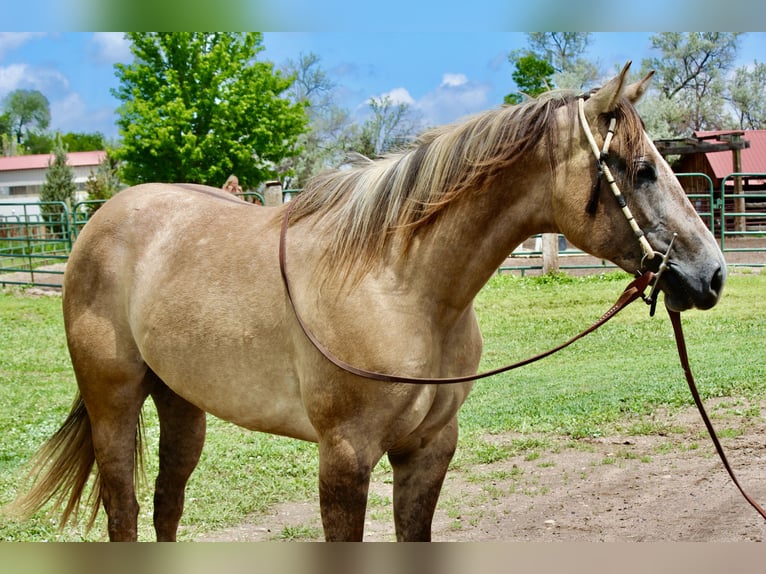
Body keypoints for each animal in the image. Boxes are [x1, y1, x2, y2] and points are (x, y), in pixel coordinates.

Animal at [9, 62, 726, 541]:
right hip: (115, 400)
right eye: (641, 170)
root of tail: (104, 219)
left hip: (182, 402)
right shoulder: (346, 458)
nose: (712, 274)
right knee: (126, 509)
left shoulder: (429, 451)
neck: (399, 285)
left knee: (167, 501)